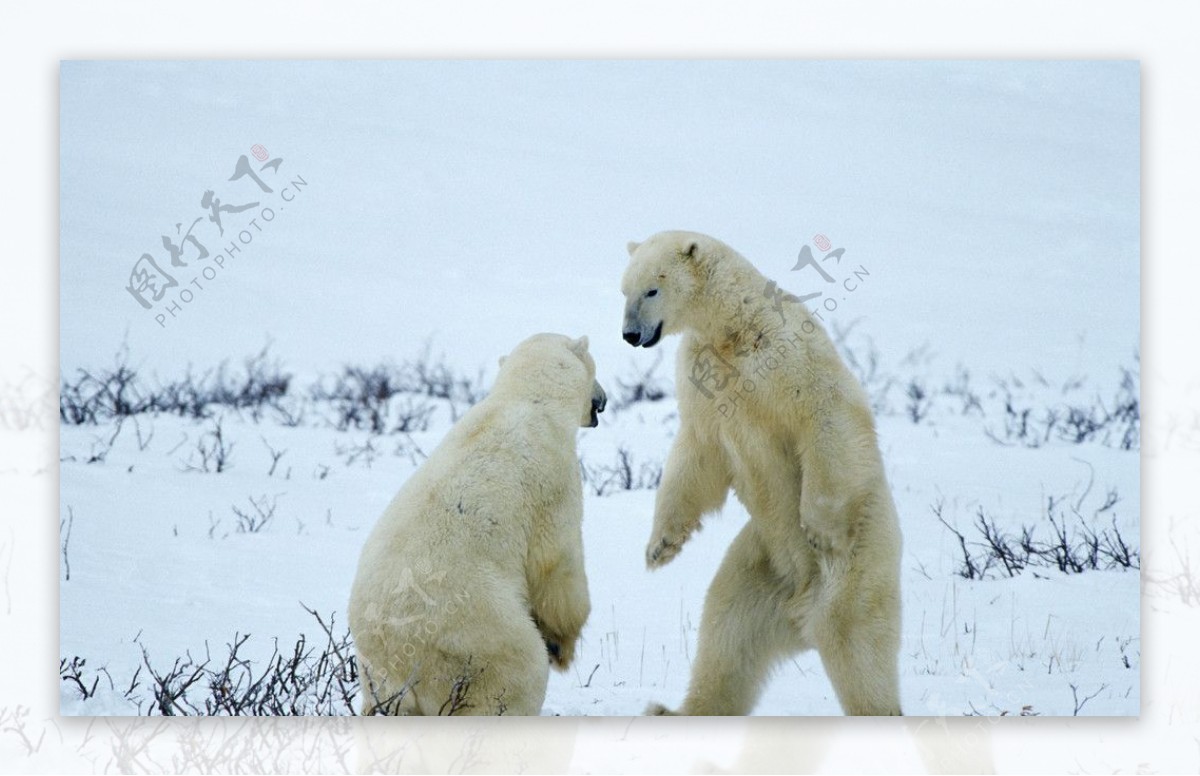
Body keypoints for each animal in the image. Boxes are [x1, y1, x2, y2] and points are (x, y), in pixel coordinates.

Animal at [350, 333, 609, 714]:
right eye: (595, 368)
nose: (603, 400)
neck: (527, 400)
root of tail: (400, 663)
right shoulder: (555, 480)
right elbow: (557, 563)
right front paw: (563, 646)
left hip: (375, 677)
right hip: (478, 634)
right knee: (518, 674)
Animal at [628, 229, 902, 714]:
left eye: (652, 290)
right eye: (625, 290)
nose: (629, 334)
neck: (734, 327)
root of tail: (800, 614)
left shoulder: (789, 353)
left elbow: (826, 414)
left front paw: (820, 529)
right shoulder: (702, 375)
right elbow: (696, 452)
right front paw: (660, 547)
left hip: (857, 565)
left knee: (856, 645)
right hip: (759, 567)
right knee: (726, 636)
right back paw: (670, 711)